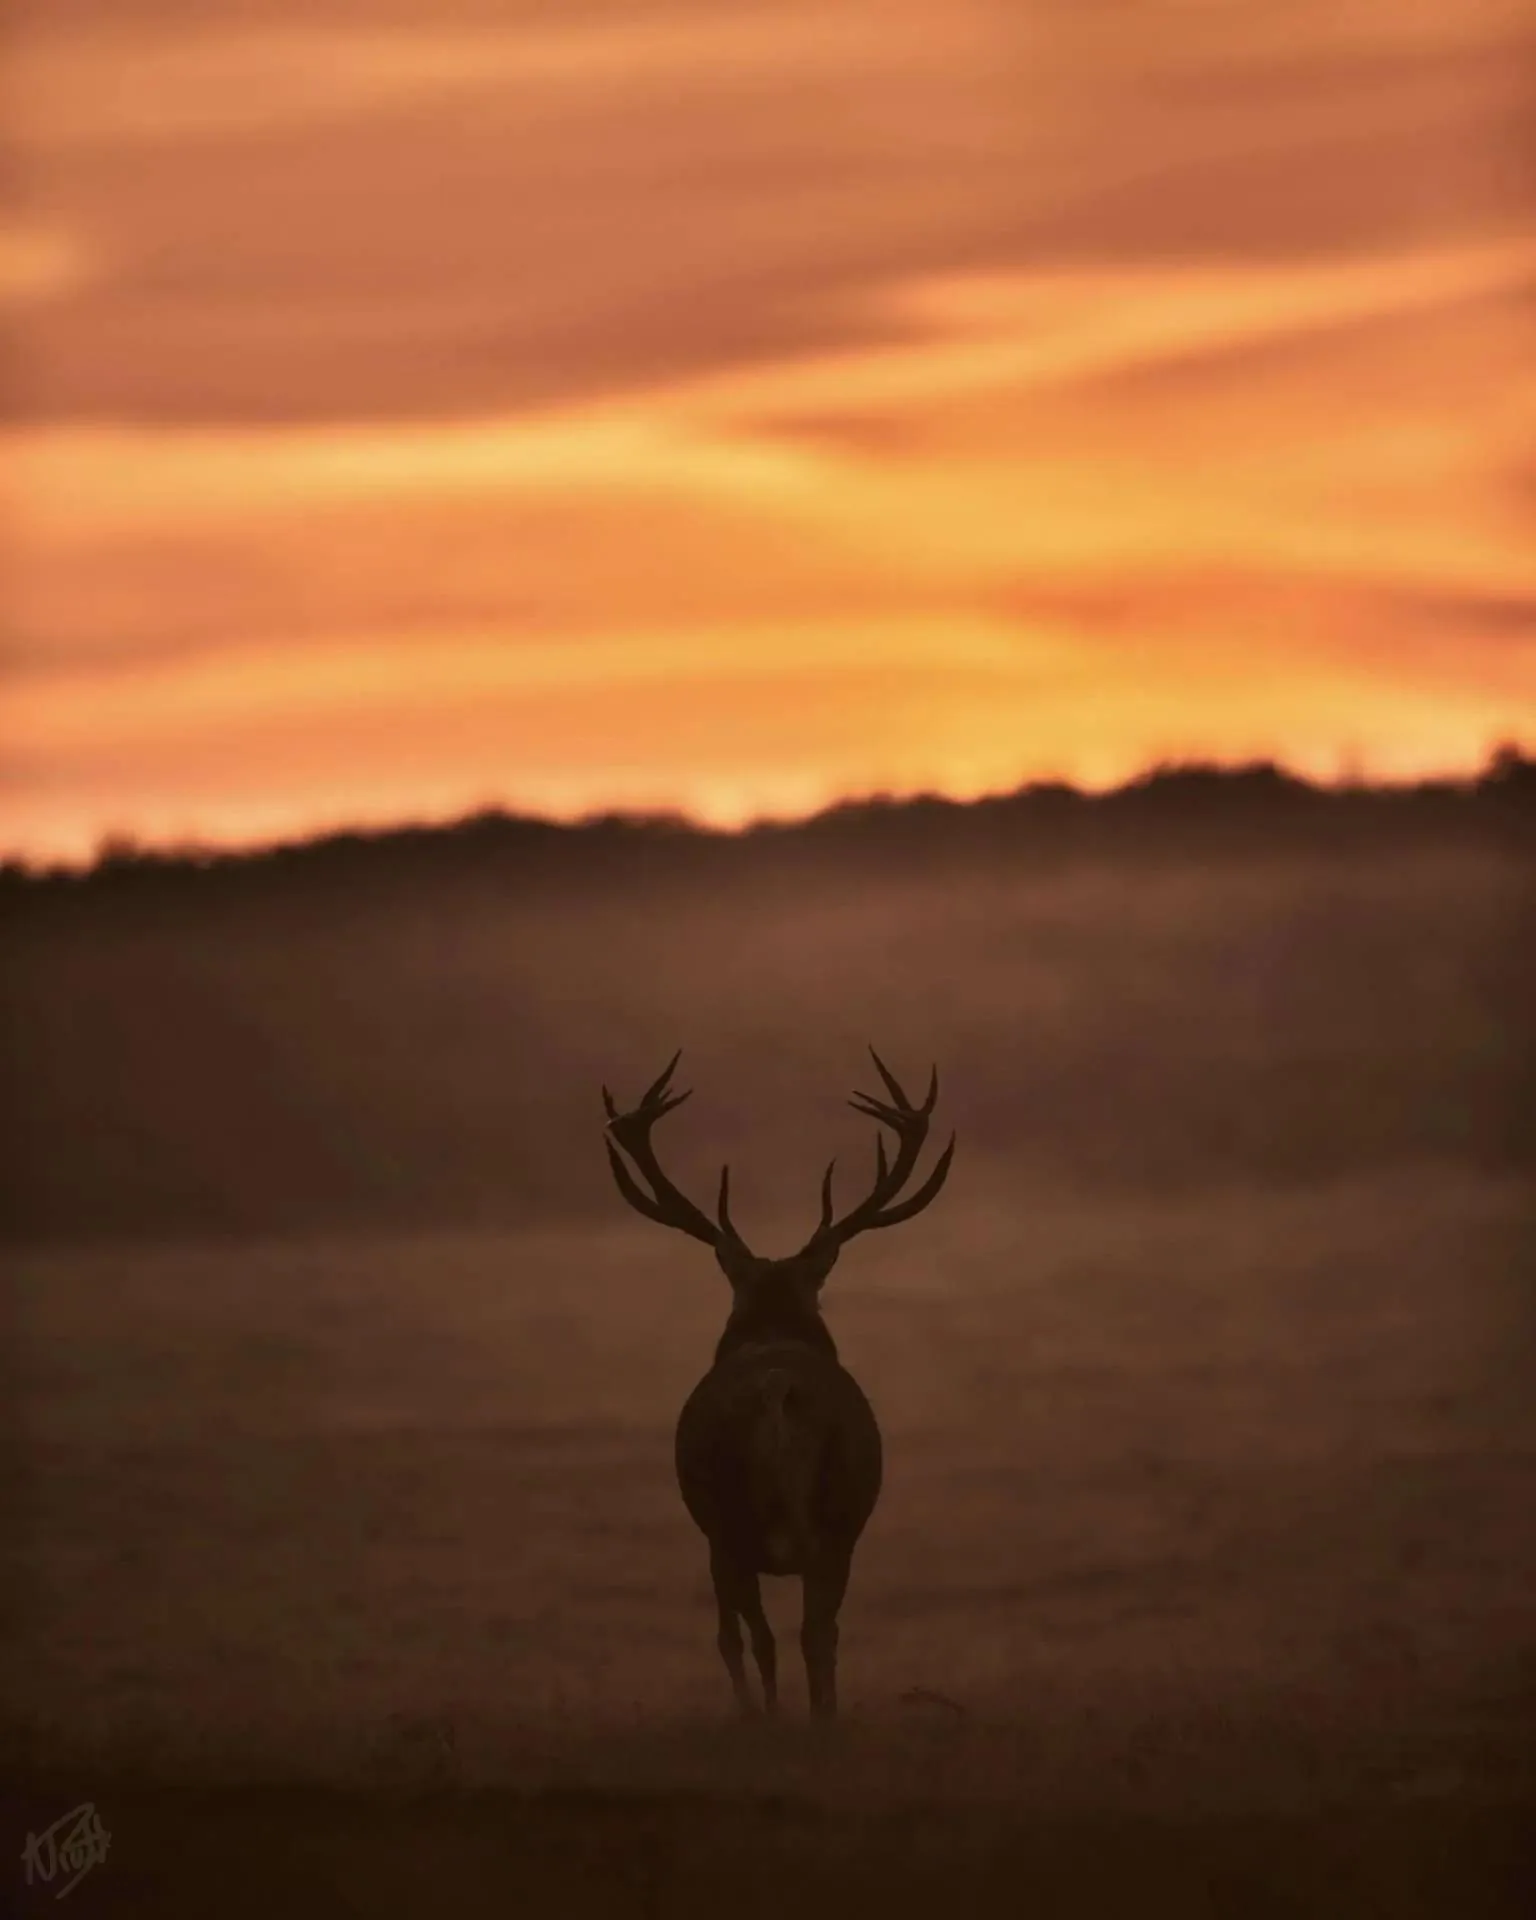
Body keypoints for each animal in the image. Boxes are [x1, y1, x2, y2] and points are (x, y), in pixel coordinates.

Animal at [602, 1047, 955, 1719]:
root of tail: (776, 1393)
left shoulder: (720, 1537)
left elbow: (737, 1638)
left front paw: (757, 1714)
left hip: (735, 1522)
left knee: (765, 1634)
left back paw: (771, 1718)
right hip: (835, 1523)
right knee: (816, 1632)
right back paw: (819, 1717)